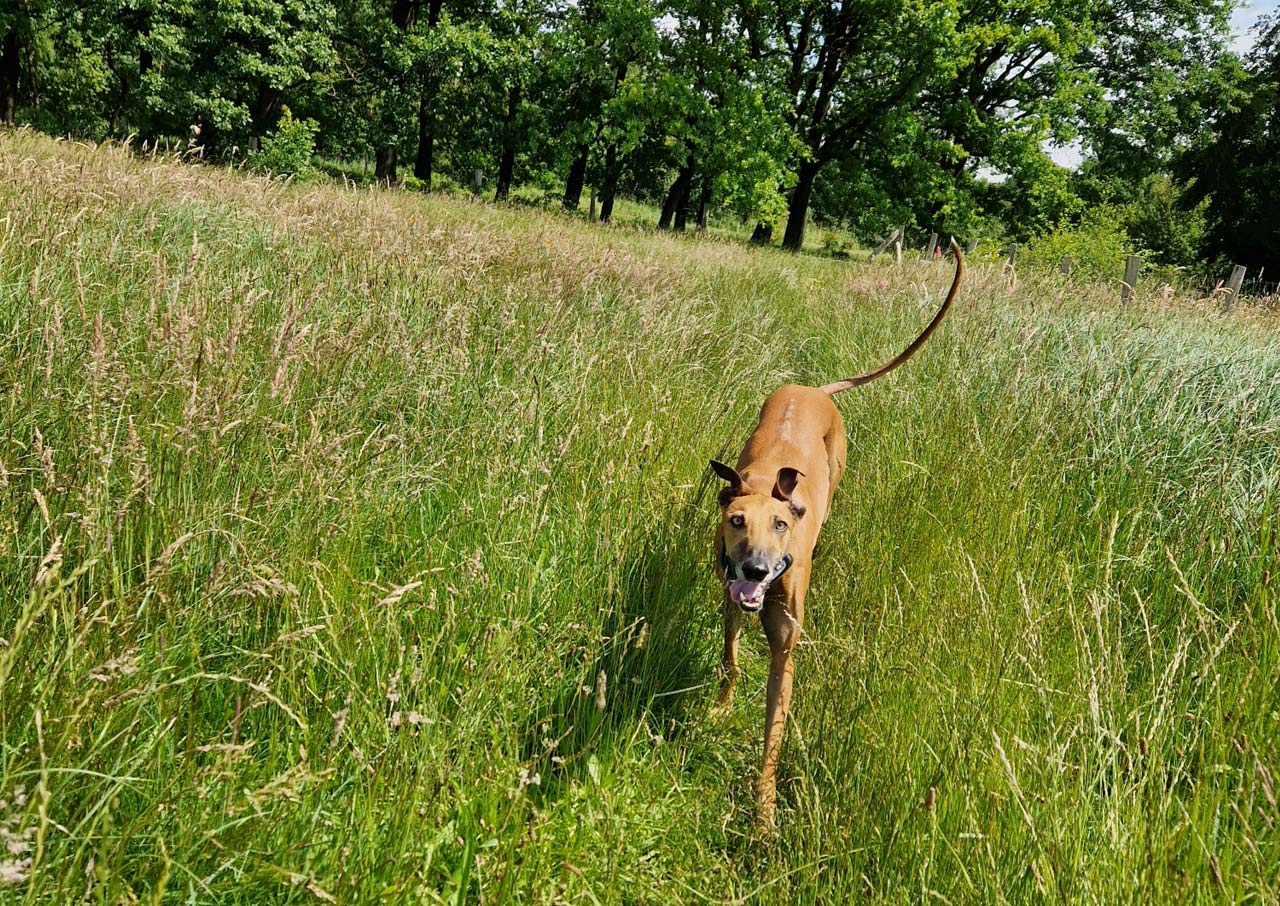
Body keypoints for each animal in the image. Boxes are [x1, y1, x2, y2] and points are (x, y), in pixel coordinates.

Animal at [711, 240, 962, 829]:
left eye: (782, 525)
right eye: (737, 521)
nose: (756, 569)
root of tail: (812, 388)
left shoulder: (785, 648)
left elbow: (774, 734)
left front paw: (765, 811)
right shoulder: (731, 600)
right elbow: (731, 657)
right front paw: (723, 706)